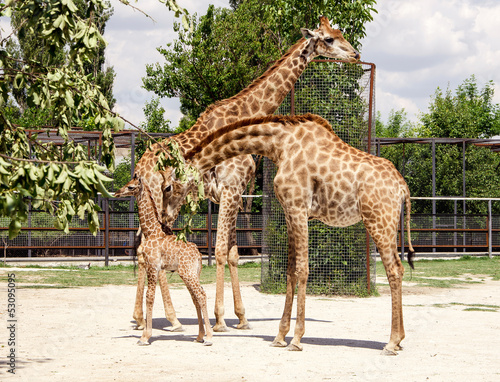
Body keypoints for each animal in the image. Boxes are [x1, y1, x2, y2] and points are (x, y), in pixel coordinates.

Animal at [115, 176, 213, 346]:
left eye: (131, 187)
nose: (117, 193)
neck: (151, 231)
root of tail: (199, 255)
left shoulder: (152, 266)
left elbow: (149, 297)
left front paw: (145, 337)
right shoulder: (156, 268)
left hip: (187, 273)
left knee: (201, 295)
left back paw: (208, 338)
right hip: (191, 273)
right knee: (195, 297)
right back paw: (199, 336)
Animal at [133, 16, 360, 332]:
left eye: (340, 33)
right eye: (328, 38)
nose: (355, 55)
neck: (243, 114)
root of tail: (140, 165)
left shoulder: (233, 194)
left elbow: (232, 253)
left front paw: (240, 317)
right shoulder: (229, 189)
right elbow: (217, 251)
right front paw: (219, 320)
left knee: (144, 248)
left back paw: (143, 318)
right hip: (158, 202)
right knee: (147, 247)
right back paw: (172, 319)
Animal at [178, 114, 416, 356]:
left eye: (175, 181)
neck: (279, 145)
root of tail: (402, 187)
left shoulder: (298, 208)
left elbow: (302, 269)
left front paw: (296, 339)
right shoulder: (290, 212)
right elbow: (290, 270)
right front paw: (280, 336)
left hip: (378, 220)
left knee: (393, 270)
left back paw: (391, 343)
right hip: (388, 222)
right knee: (399, 268)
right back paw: (399, 339)